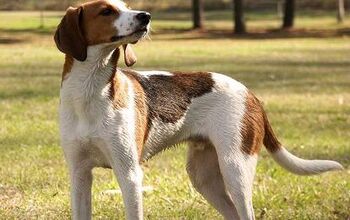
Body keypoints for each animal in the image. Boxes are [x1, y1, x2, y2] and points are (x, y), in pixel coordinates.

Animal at [53, 0, 344, 219]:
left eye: (126, 6)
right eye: (106, 11)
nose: (145, 16)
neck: (89, 92)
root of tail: (250, 93)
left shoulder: (129, 174)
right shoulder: (79, 174)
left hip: (235, 169)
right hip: (204, 176)